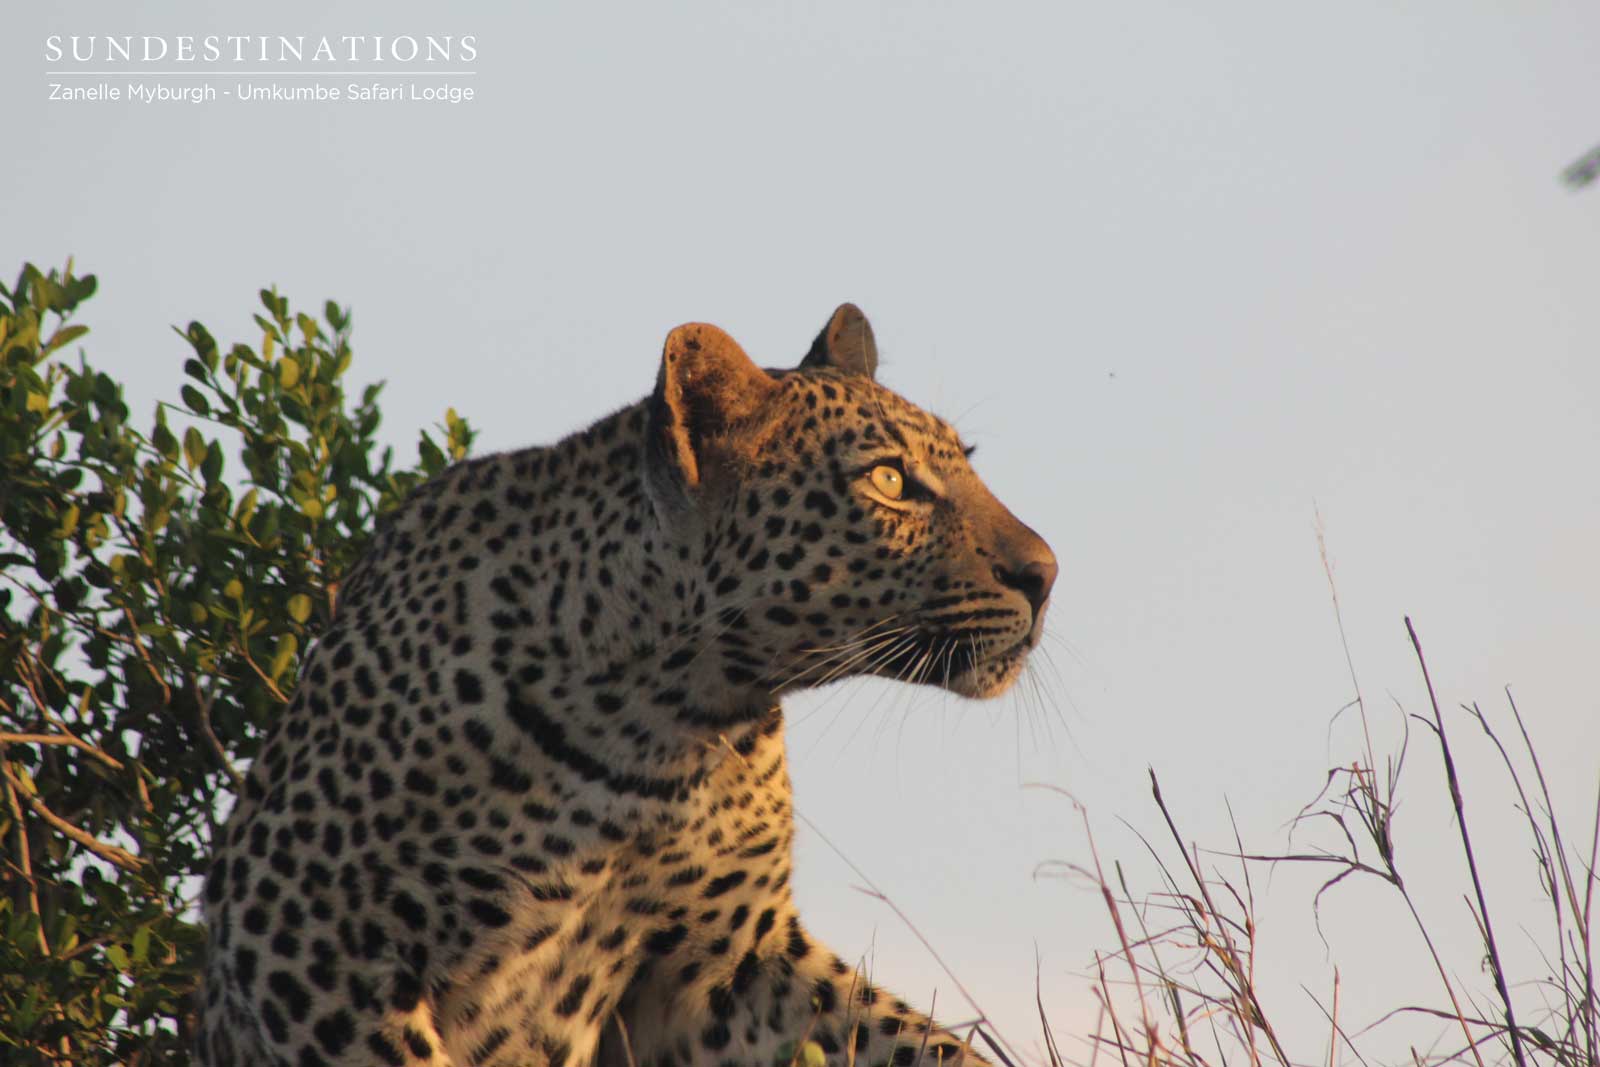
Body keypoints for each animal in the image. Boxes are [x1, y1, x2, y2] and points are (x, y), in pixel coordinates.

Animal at [198, 304, 1058, 1067]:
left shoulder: (731, 968)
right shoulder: (306, 938)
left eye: (966, 459)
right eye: (888, 479)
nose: (1047, 574)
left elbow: (911, 1039)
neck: (673, 725)